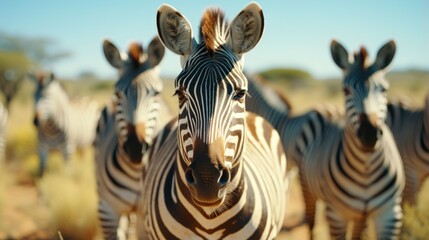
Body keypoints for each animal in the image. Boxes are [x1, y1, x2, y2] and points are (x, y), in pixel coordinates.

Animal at [96, 36, 171, 239]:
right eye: (117, 93)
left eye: (156, 93)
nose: (136, 149)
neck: (136, 172)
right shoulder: (107, 211)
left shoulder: (146, 216)